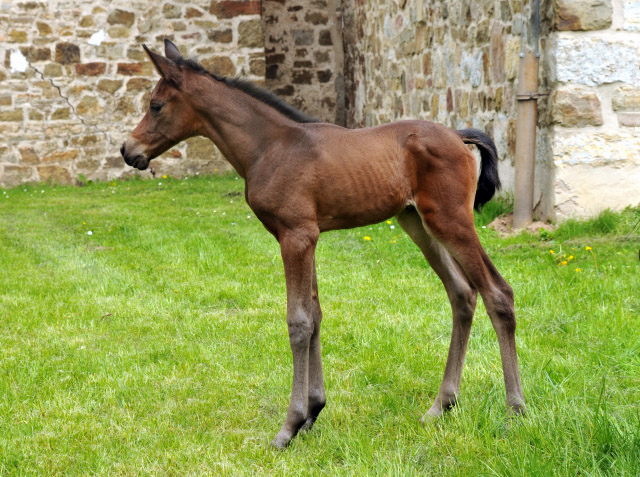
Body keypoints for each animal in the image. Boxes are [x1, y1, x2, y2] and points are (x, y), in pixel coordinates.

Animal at [121, 40, 524, 446]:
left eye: (156, 105)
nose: (128, 150)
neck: (269, 146)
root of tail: (457, 135)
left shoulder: (295, 235)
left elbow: (298, 321)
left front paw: (289, 426)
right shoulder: (307, 236)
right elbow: (314, 315)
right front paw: (313, 412)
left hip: (452, 220)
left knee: (498, 293)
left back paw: (515, 411)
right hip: (417, 222)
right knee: (462, 293)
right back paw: (441, 406)